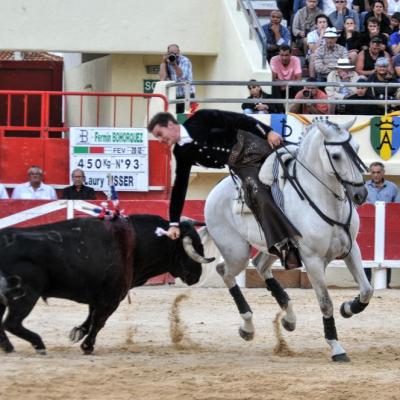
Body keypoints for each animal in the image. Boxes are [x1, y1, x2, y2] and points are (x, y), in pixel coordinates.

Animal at [0, 214, 214, 354]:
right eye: (196, 245)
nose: (197, 275)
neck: (135, 244)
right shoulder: (111, 297)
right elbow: (99, 321)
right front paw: (87, 346)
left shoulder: (98, 296)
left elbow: (91, 317)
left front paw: (78, 333)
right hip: (26, 294)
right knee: (12, 323)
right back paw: (39, 345)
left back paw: (8, 347)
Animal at [205, 116, 374, 362]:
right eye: (335, 156)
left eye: (357, 148)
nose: (360, 194)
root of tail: (215, 189)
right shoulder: (312, 259)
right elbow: (326, 303)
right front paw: (336, 348)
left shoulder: (352, 249)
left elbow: (367, 290)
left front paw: (347, 308)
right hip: (236, 251)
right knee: (225, 272)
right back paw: (248, 327)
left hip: (273, 244)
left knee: (260, 266)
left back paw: (289, 319)